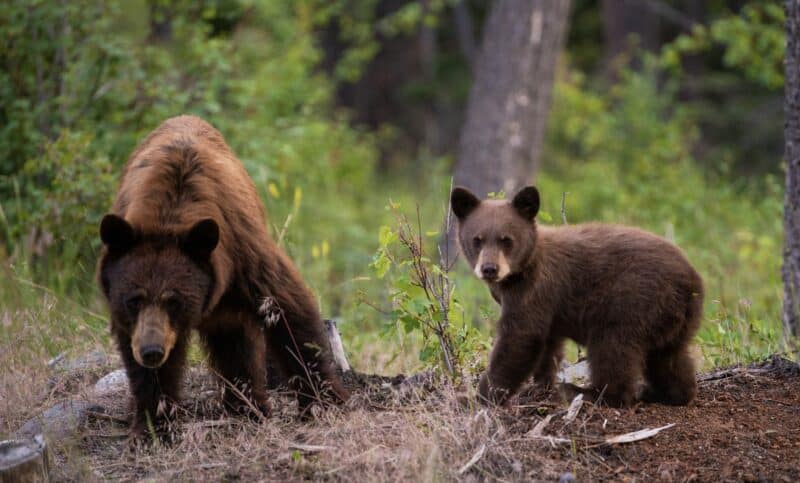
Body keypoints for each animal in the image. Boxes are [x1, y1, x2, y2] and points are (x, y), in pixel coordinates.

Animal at [97, 115, 348, 435]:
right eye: (133, 300)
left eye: (174, 300)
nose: (151, 351)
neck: (169, 216)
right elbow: (144, 370)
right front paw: (153, 424)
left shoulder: (244, 254)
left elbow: (288, 312)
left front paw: (324, 401)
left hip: (231, 304)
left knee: (236, 344)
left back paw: (248, 407)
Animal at [450, 185, 703, 407]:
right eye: (477, 239)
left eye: (506, 240)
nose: (489, 269)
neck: (521, 270)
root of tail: (691, 281)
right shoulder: (547, 307)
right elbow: (548, 344)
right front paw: (540, 385)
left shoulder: (535, 289)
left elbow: (520, 338)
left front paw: (480, 396)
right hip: (673, 319)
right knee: (669, 357)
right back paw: (667, 393)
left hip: (632, 301)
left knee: (613, 348)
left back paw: (590, 393)